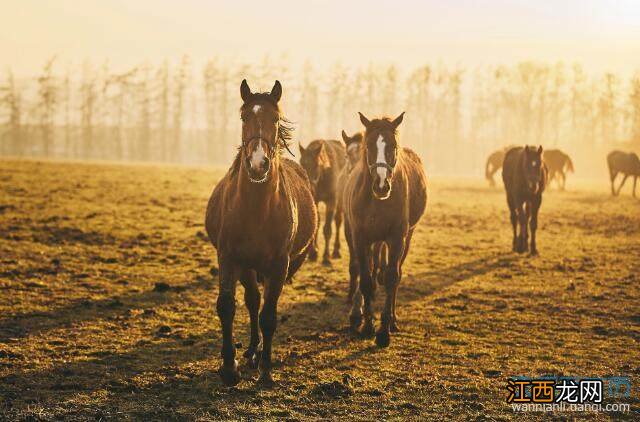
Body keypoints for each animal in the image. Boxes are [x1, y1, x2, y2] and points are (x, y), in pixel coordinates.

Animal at [204, 79, 316, 386]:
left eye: (275, 119)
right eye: (244, 117)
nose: (257, 163)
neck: (256, 208)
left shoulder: (279, 265)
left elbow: (269, 315)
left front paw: (266, 370)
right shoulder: (229, 258)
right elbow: (227, 306)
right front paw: (229, 367)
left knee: (261, 304)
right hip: (246, 266)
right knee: (252, 301)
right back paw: (252, 350)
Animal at [342, 111, 428, 346]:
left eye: (393, 146)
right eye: (369, 146)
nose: (381, 185)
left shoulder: (397, 238)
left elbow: (391, 278)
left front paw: (383, 331)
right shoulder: (360, 238)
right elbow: (365, 279)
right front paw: (366, 324)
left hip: (407, 236)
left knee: (396, 273)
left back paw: (393, 320)